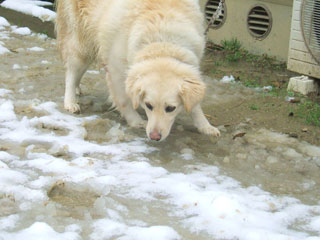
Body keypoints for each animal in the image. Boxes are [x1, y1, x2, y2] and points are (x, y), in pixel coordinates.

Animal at [55, 0, 220, 141]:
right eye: (148, 105)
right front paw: (135, 121)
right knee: (71, 73)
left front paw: (205, 126)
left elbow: (195, 106)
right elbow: (123, 100)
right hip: (81, 44)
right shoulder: (116, 70)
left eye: (170, 108)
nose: (154, 137)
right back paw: (70, 102)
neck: (162, 44)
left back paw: (77, 89)